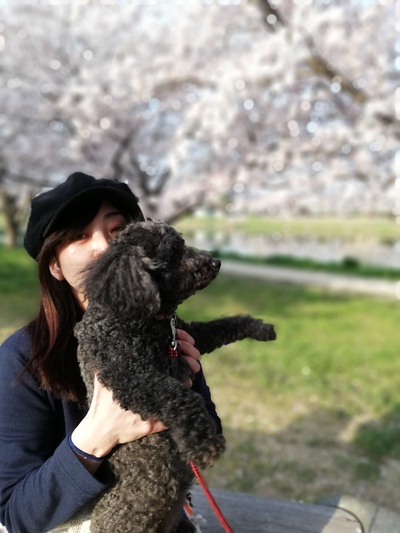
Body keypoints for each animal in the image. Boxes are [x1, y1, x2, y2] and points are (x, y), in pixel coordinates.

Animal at [74, 220, 276, 533]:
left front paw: (260, 327)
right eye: (174, 253)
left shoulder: (188, 334)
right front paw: (205, 444)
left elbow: (223, 325)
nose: (216, 262)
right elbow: (181, 396)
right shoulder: (131, 377)